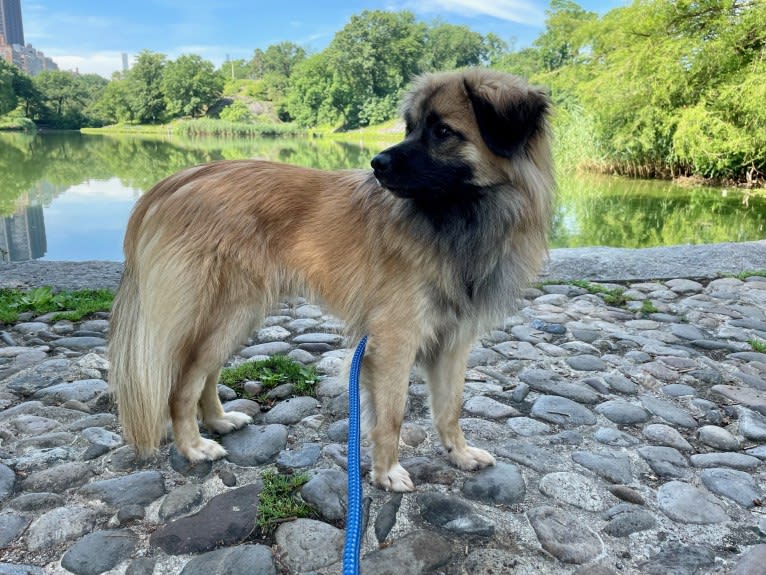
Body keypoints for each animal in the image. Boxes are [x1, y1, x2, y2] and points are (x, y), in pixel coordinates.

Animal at [109, 67, 552, 490]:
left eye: (442, 131)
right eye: (410, 128)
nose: (376, 164)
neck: (458, 219)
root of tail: (174, 182)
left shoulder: (453, 341)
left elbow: (451, 407)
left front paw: (459, 454)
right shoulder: (394, 341)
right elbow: (391, 415)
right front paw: (387, 473)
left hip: (237, 316)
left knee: (205, 375)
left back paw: (219, 420)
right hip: (224, 312)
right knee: (182, 386)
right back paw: (194, 446)